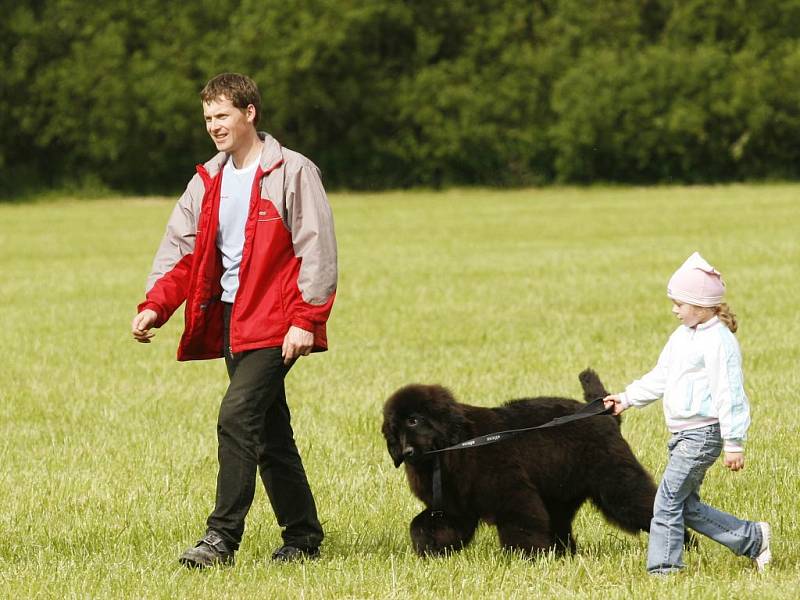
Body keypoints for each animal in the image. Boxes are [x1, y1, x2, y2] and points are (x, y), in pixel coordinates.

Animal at [382, 370, 664, 556]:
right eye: (395, 430)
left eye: (414, 421)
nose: (408, 453)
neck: (456, 445)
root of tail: (602, 413)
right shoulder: (454, 506)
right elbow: (421, 526)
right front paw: (430, 551)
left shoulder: (511, 490)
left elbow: (522, 522)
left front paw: (525, 557)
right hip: (559, 494)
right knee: (559, 523)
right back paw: (562, 555)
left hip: (616, 483)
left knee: (644, 503)